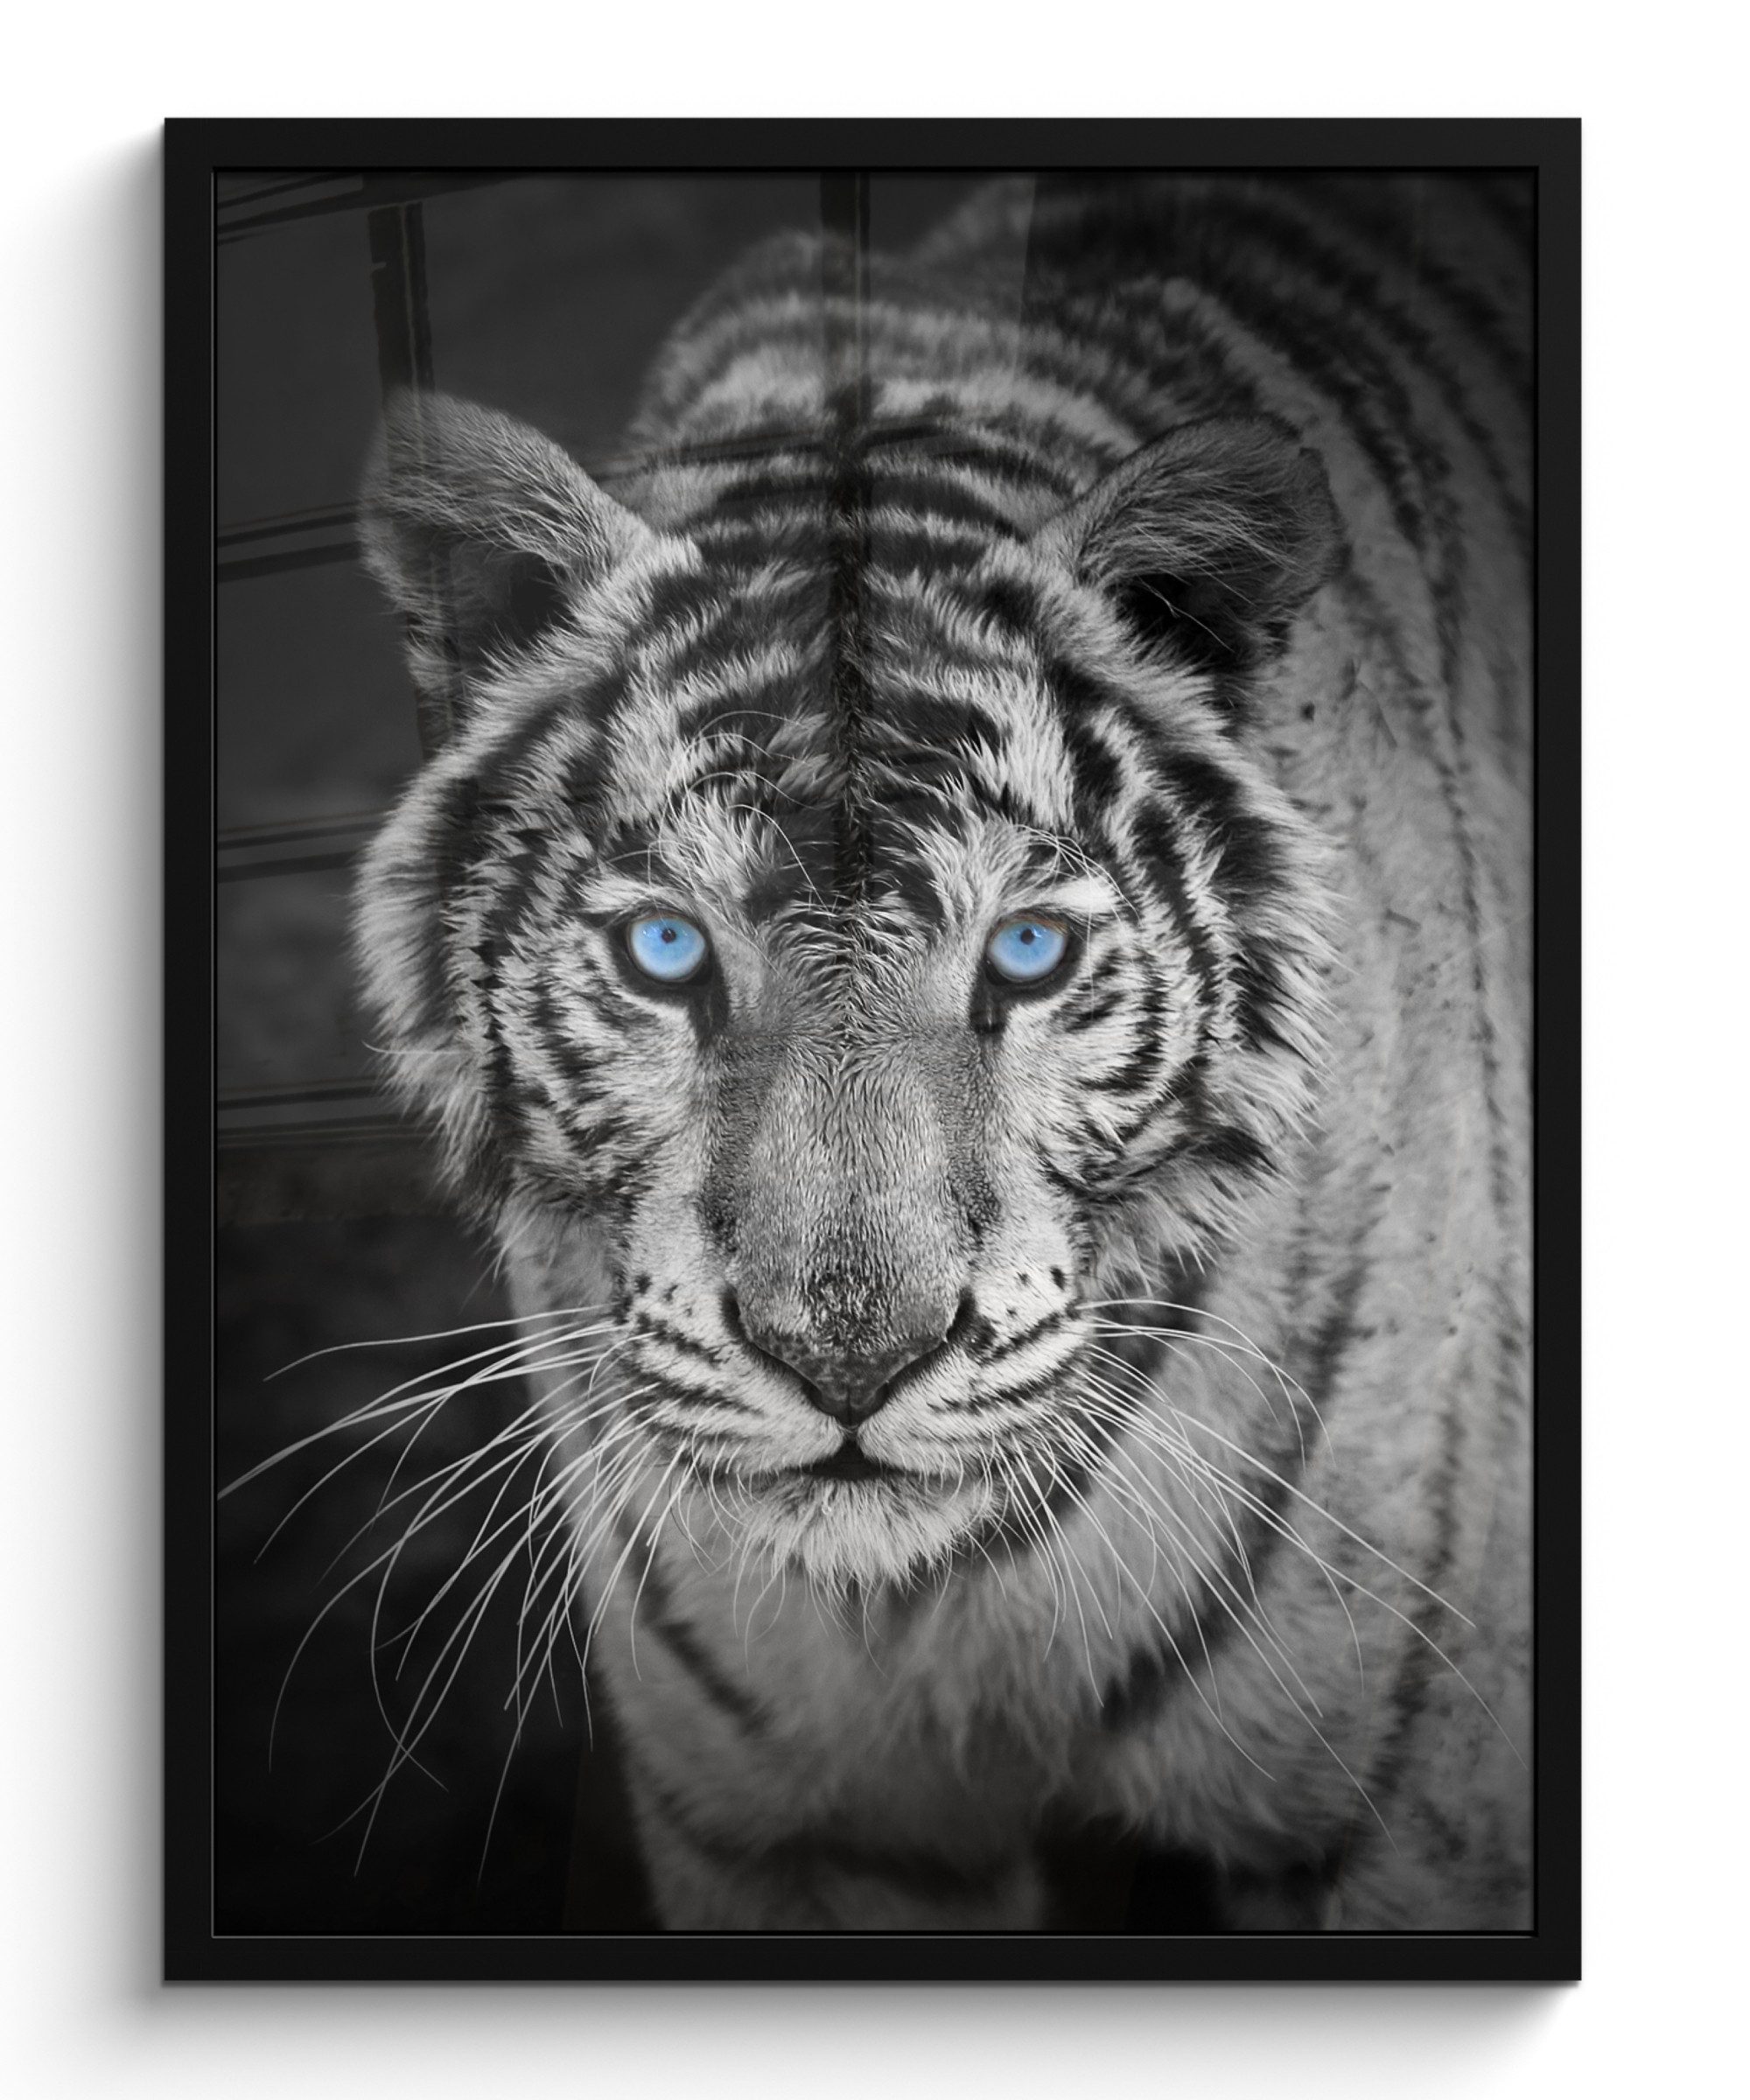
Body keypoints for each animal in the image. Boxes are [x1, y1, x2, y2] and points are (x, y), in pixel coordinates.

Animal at [351, 173, 1532, 1932]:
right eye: (667, 951)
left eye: (1026, 955)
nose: (849, 1361)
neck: (930, 1610)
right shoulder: (790, 1837)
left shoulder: (1406, 1820)